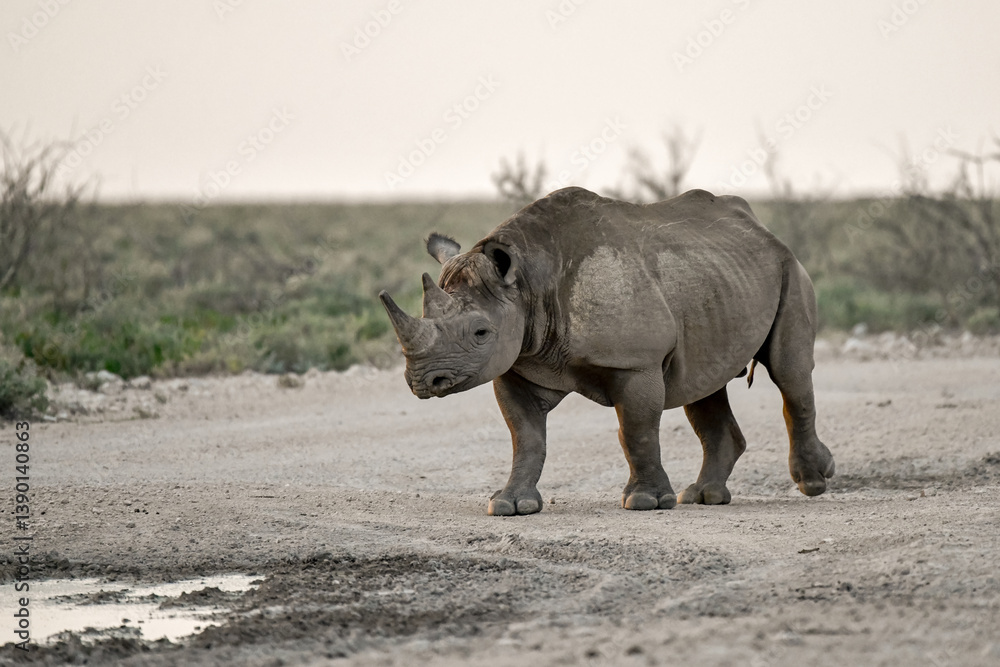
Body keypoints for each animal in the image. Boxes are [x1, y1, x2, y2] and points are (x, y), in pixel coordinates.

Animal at [379, 187, 835, 515]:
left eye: (479, 332)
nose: (422, 381)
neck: (529, 283)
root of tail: (761, 229)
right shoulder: (520, 363)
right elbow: (525, 437)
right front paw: (510, 505)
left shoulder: (636, 362)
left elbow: (635, 429)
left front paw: (645, 502)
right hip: (718, 277)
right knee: (704, 385)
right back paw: (702, 497)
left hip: (788, 267)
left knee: (789, 372)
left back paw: (813, 482)